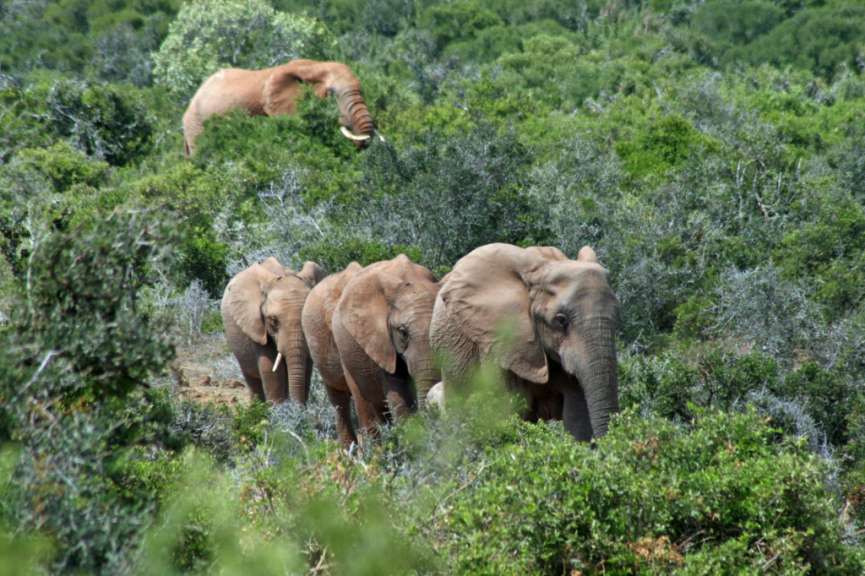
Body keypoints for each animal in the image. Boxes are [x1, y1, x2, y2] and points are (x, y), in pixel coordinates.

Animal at [221, 257, 325, 404]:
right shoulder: (257, 326)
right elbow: (270, 369)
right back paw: (255, 406)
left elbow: (306, 368)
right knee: (252, 380)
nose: (298, 407)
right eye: (273, 321)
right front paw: (277, 408)